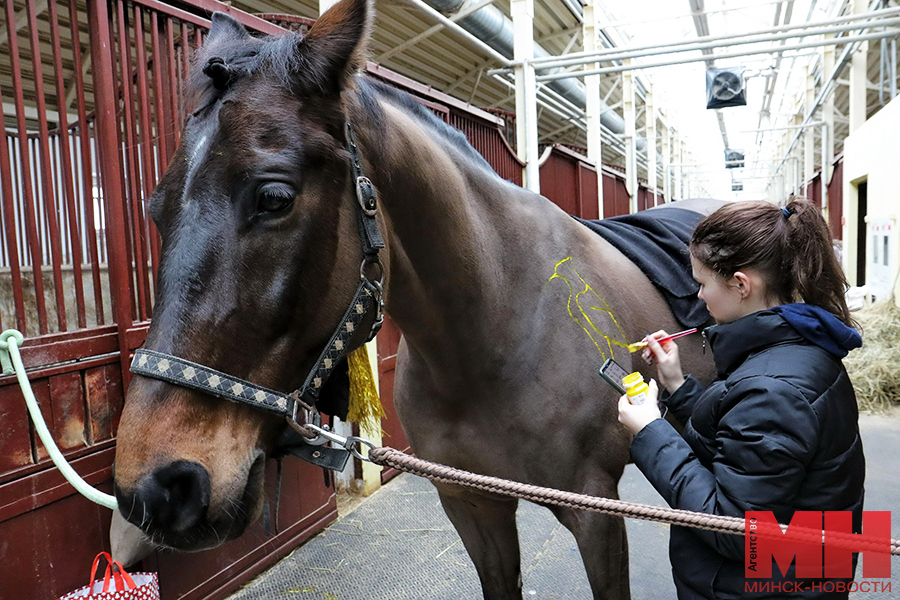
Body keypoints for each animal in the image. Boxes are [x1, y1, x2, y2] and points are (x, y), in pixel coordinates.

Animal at [112, 2, 716, 596]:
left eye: (275, 197)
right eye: (155, 207)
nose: (157, 489)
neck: (496, 332)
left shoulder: (596, 513)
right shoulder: (471, 504)